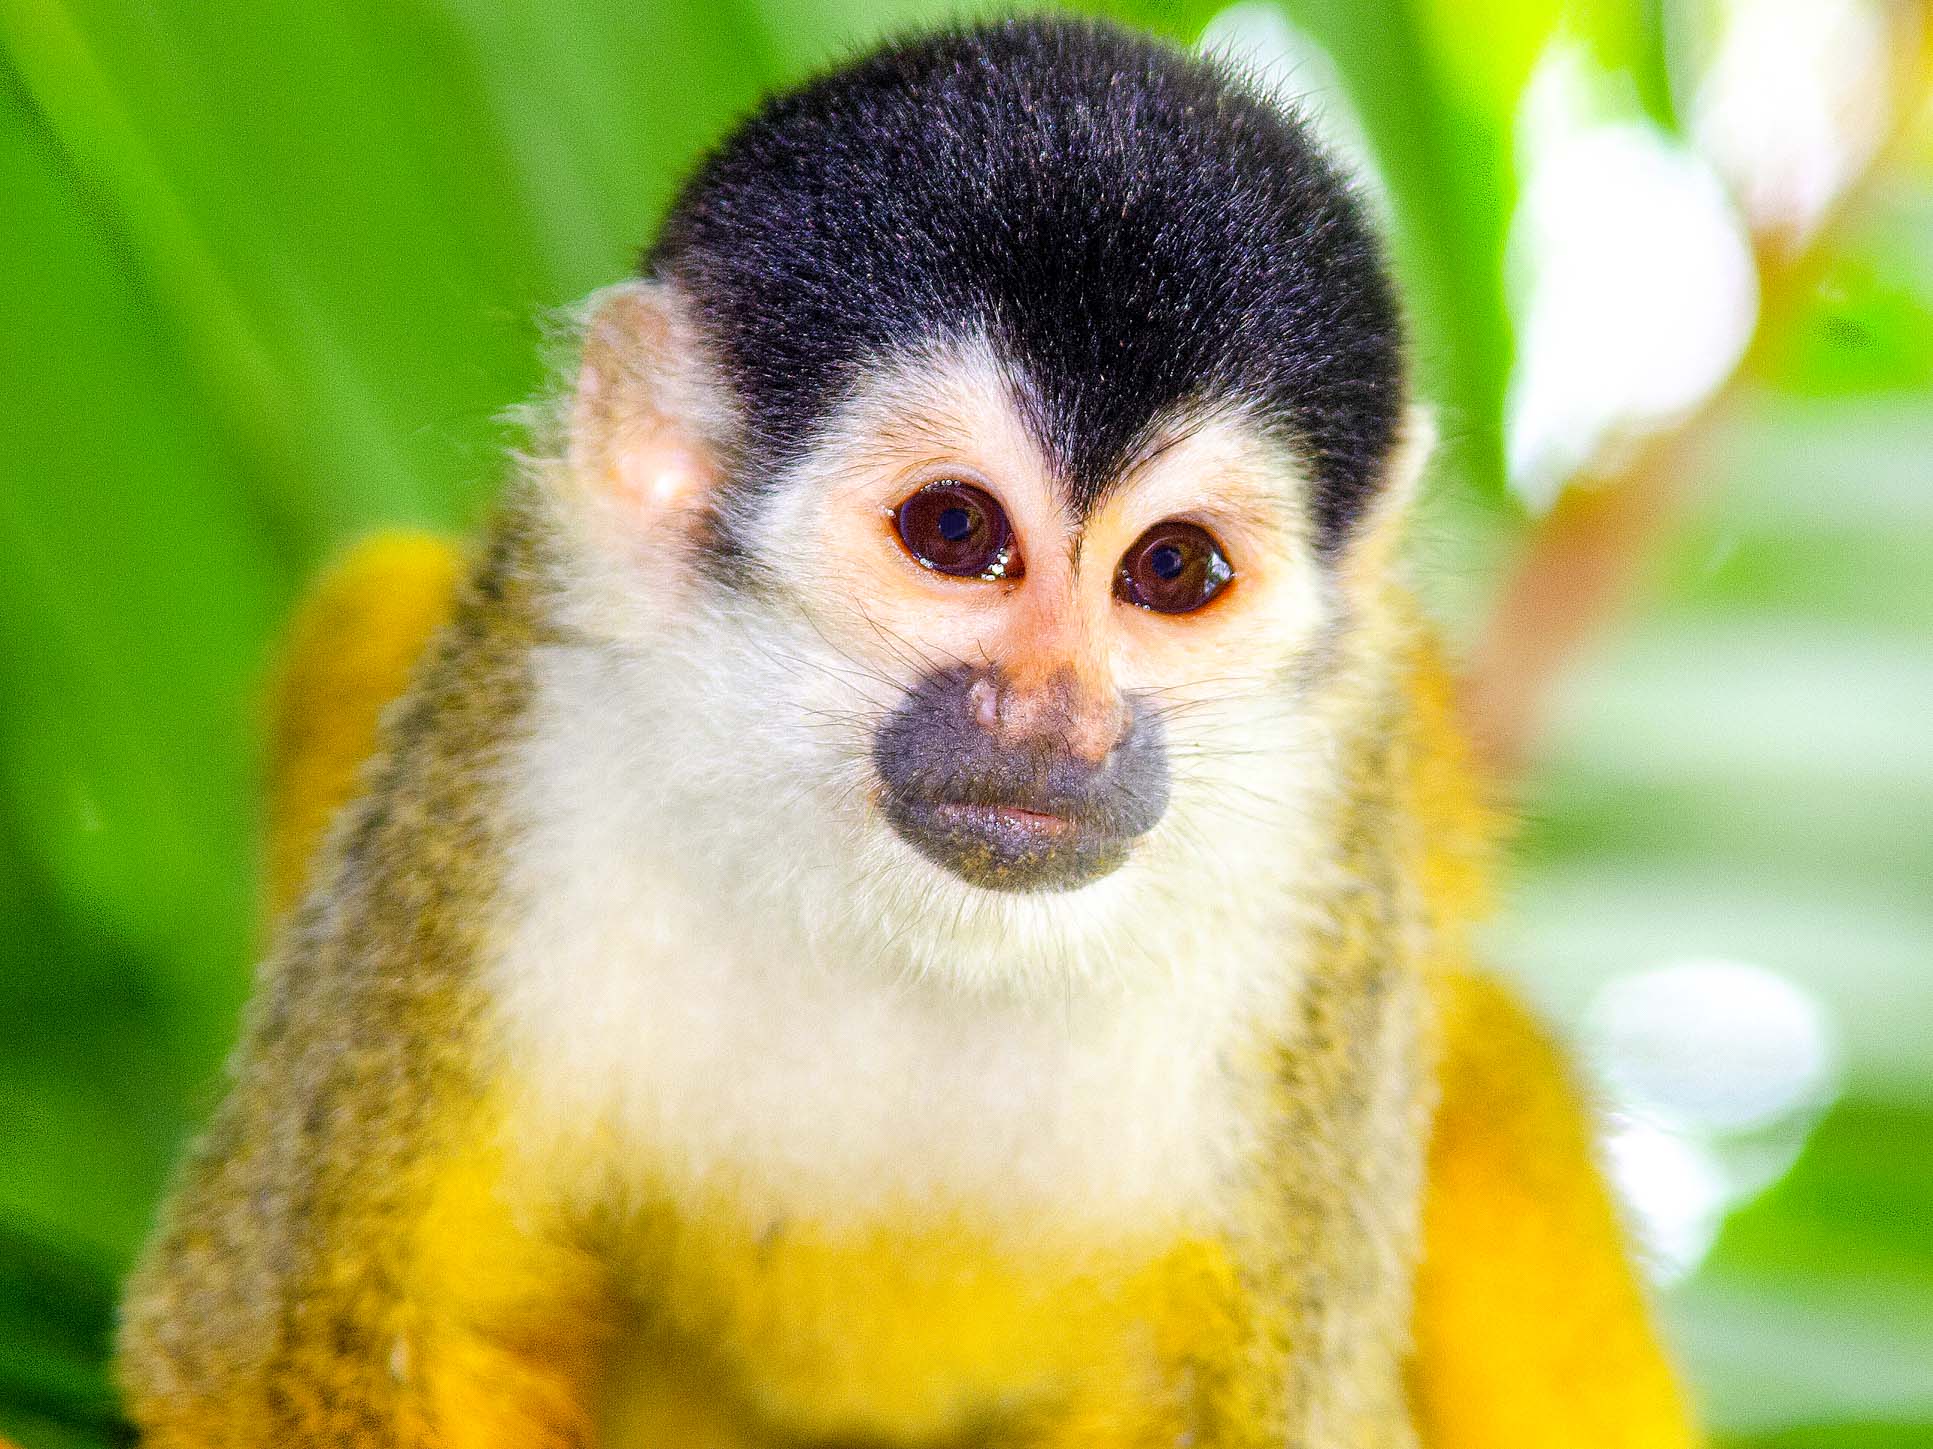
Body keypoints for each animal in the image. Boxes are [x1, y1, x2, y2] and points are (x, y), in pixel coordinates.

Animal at [118, 16, 1698, 1449]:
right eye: (953, 530)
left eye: (1172, 570)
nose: (1055, 717)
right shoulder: (524, 742)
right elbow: (264, 1333)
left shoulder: (1326, 896)